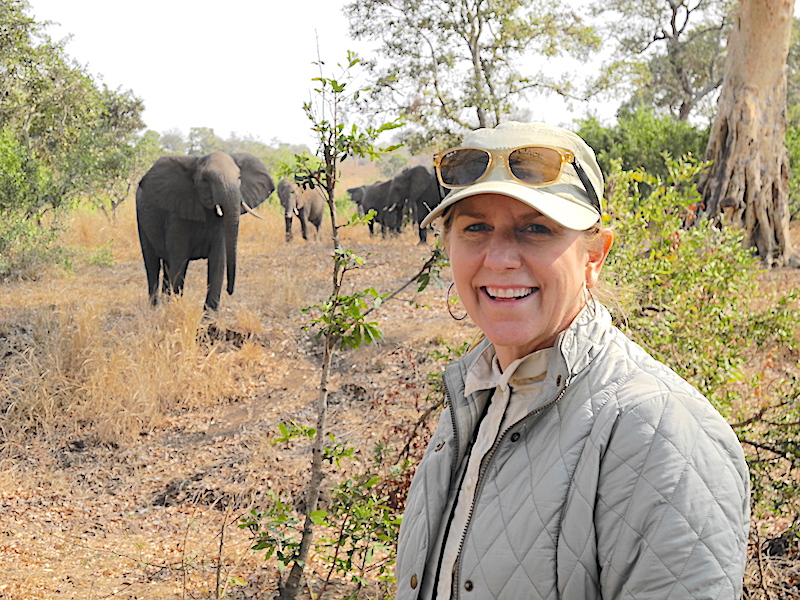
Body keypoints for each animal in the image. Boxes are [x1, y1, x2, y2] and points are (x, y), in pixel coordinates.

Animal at [134, 151, 276, 310]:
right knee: (152, 265)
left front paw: (209, 317)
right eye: (205, 180)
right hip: (141, 220)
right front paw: (175, 309)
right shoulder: (176, 214)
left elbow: (218, 261)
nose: (230, 291)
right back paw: (155, 309)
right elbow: (179, 261)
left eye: (239, 178)